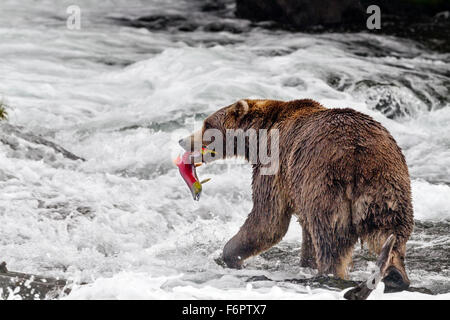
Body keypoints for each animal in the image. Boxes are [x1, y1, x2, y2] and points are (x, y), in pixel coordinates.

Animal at [178, 99, 414, 292]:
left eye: (207, 124)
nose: (182, 140)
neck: (258, 136)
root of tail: (358, 159)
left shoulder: (275, 166)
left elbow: (268, 219)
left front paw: (230, 255)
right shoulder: (297, 186)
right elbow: (304, 229)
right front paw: (306, 262)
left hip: (325, 185)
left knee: (330, 239)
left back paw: (329, 275)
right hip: (387, 188)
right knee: (389, 233)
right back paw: (394, 275)